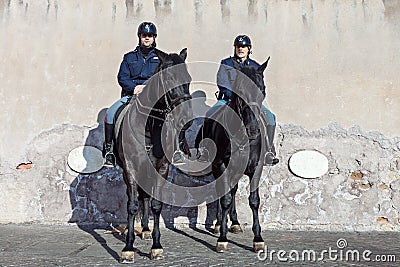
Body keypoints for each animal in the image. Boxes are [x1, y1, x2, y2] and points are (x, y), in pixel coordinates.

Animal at [115, 48, 193, 264]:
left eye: (188, 79)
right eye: (170, 78)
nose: (186, 119)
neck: (149, 127)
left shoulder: (161, 169)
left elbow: (156, 205)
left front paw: (156, 247)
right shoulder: (131, 169)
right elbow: (132, 205)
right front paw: (128, 248)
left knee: (146, 197)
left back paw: (146, 230)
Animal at [195, 58, 268, 253]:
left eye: (262, 91)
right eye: (240, 92)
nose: (253, 130)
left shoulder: (256, 168)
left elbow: (254, 200)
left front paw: (258, 239)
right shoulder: (221, 166)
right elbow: (226, 199)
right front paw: (222, 238)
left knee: (232, 190)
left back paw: (234, 223)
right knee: (223, 193)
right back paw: (220, 224)